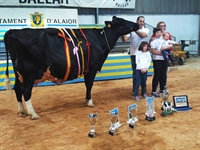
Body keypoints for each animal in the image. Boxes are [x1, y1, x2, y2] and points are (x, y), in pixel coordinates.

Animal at [4, 16, 139, 119]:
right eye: (121, 22)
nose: (137, 24)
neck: (99, 39)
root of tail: (12, 32)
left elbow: (87, 85)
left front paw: (87, 100)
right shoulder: (92, 67)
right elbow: (89, 84)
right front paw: (90, 101)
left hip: (19, 73)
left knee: (17, 89)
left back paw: (22, 111)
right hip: (29, 72)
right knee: (26, 91)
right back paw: (33, 114)